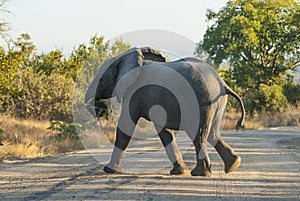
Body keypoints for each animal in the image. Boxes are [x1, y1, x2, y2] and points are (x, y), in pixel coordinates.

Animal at [84, 47, 244, 176]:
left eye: (101, 79)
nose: (101, 108)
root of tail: (222, 83)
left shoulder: (134, 92)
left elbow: (125, 126)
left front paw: (109, 170)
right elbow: (165, 131)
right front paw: (179, 172)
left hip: (201, 101)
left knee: (198, 135)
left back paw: (200, 173)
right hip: (216, 103)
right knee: (212, 134)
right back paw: (233, 165)